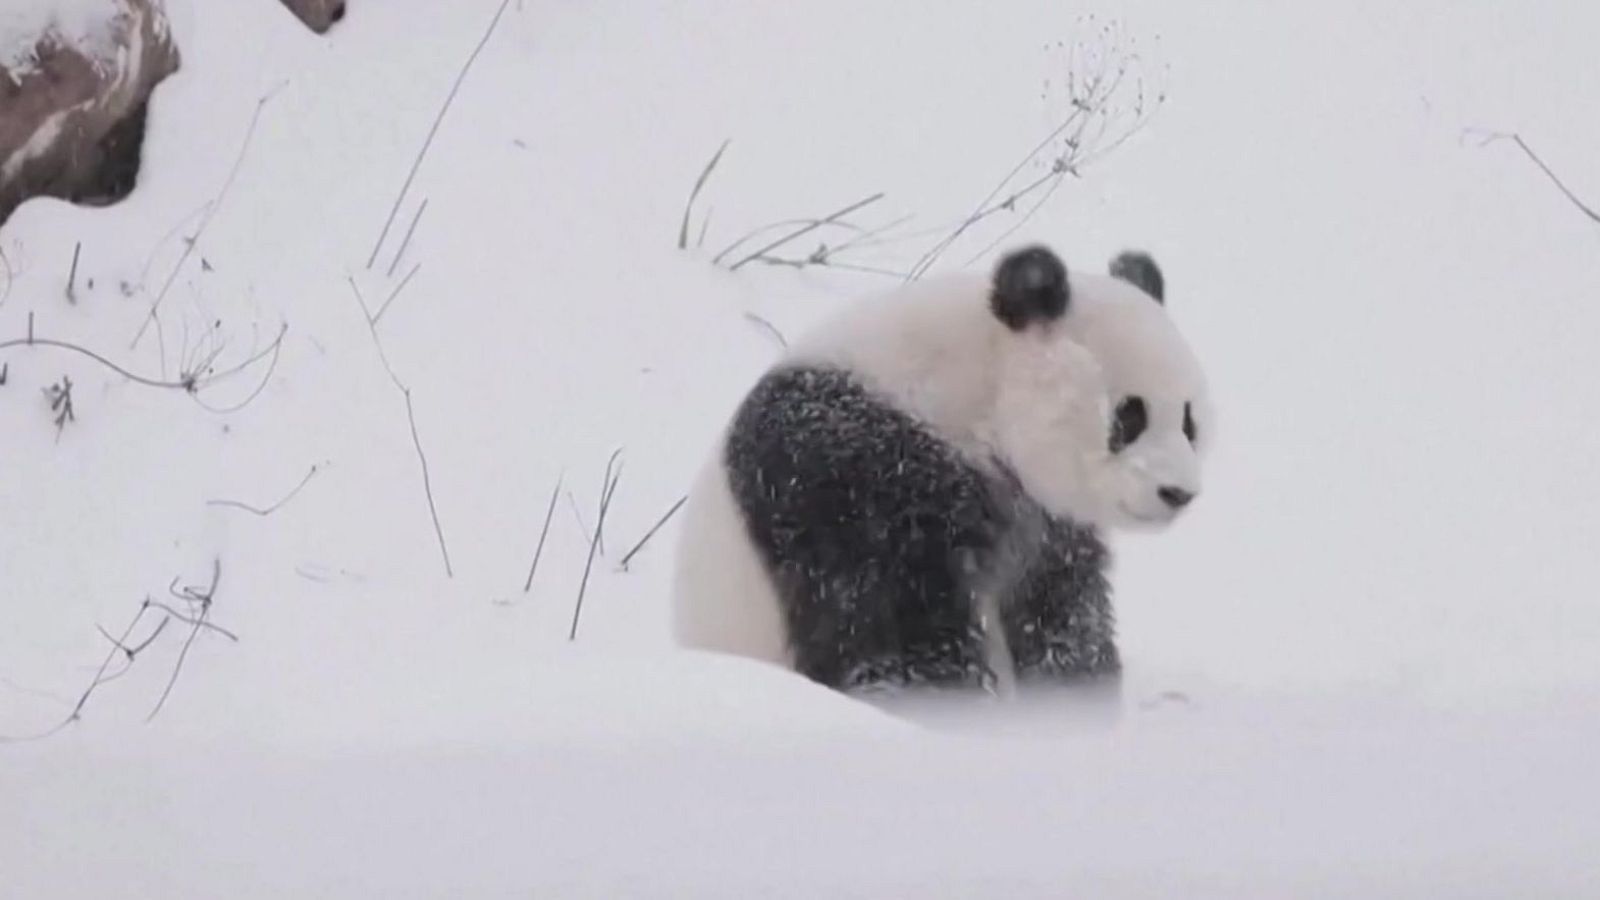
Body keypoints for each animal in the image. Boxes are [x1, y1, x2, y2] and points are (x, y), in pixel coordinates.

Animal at [671, 244, 1212, 694]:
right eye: (1128, 417)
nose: (1177, 493)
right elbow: (886, 628)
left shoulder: (1041, 520)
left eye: (1189, 421)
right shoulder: (846, 473)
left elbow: (1060, 613)